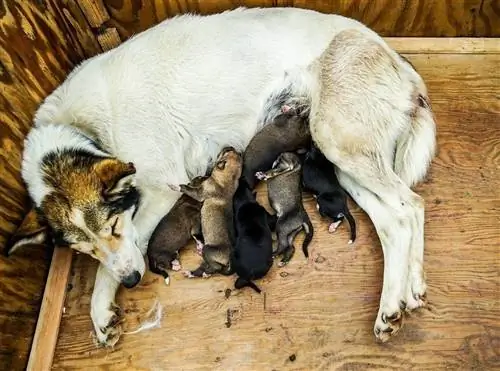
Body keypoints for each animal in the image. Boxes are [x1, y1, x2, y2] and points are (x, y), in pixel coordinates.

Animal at [171, 147, 243, 278]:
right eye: (230, 151)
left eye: (225, 152)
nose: (229, 146)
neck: (229, 179)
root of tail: (229, 259)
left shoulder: (199, 193)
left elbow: (186, 188)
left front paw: (174, 186)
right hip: (207, 258)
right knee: (205, 267)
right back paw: (192, 273)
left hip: (208, 250)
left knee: (215, 268)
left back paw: (203, 272)